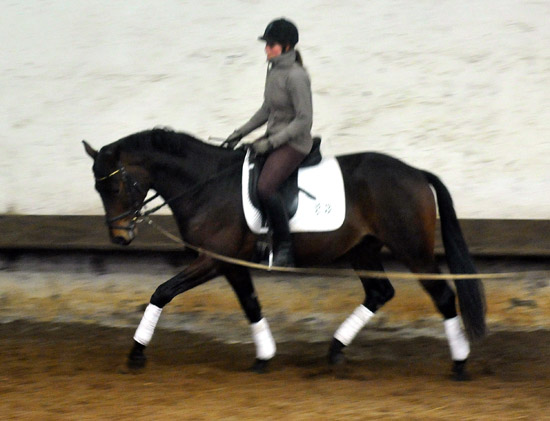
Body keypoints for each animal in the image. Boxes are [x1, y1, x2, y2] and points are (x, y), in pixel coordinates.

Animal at [83, 126, 488, 378]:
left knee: (443, 296)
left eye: (114, 186)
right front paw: (264, 356)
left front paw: (136, 353)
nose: (120, 237)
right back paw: (335, 350)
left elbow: (162, 292)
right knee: (380, 292)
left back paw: (460, 364)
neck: (205, 184)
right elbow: (250, 305)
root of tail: (416, 172)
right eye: (98, 189)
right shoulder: (229, 263)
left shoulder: (212, 259)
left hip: (412, 250)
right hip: (362, 249)